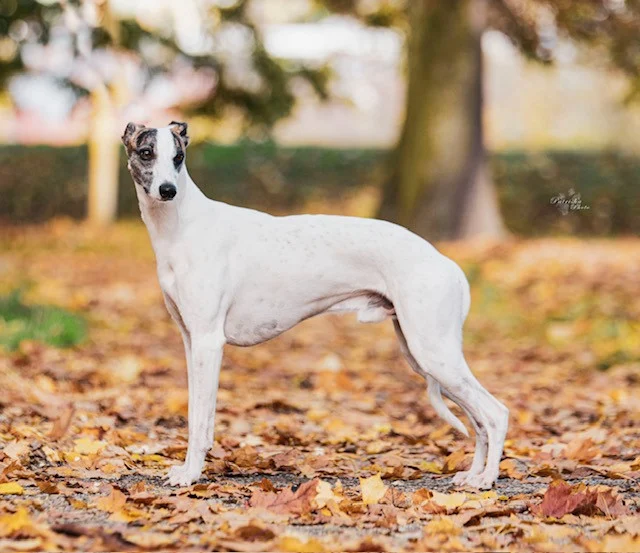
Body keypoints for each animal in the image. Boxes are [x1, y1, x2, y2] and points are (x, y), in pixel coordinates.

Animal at [121, 121, 510, 488]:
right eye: (146, 153)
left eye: (179, 157)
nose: (167, 191)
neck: (183, 226)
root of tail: (448, 264)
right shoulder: (191, 342)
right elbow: (195, 414)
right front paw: (188, 468)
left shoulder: (208, 342)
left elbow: (201, 418)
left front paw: (191, 475)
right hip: (425, 356)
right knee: (478, 420)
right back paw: (472, 475)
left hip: (434, 353)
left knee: (496, 413)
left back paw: (487, 480)